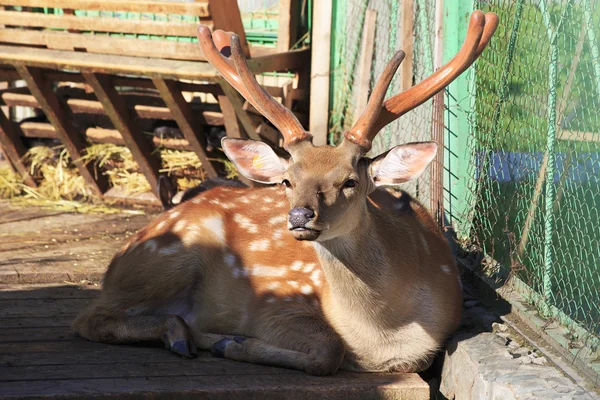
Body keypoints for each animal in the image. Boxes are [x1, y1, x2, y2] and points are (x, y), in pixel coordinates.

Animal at [72, 10, 500, 376]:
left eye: (351, 181)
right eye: (287, 181)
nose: (299, 217)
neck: (383, 336)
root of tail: (116, 261)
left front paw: (227, 342)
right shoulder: (277, 301)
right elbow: (329, 350)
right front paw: (231, 343)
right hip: (171, 253)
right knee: (88, 317)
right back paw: (183, 335)